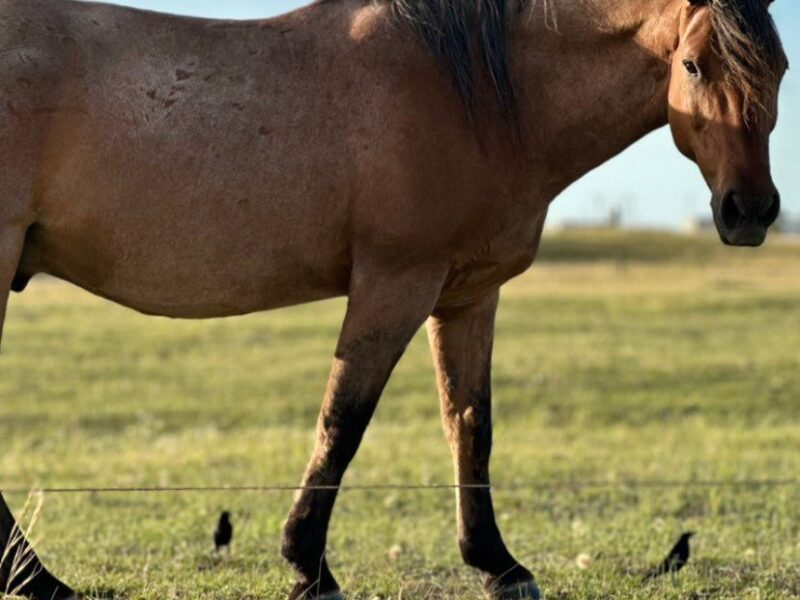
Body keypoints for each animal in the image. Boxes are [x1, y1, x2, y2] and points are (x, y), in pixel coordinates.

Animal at [0, 0, 788, 596]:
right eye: (693, 65)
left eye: (780, 68)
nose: (750, 211)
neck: (475, 96)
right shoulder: (395, 284)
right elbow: (342, 423)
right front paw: (308, 567)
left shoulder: (468, 296)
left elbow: (470, 426)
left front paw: (498, 565)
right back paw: (39, 580)